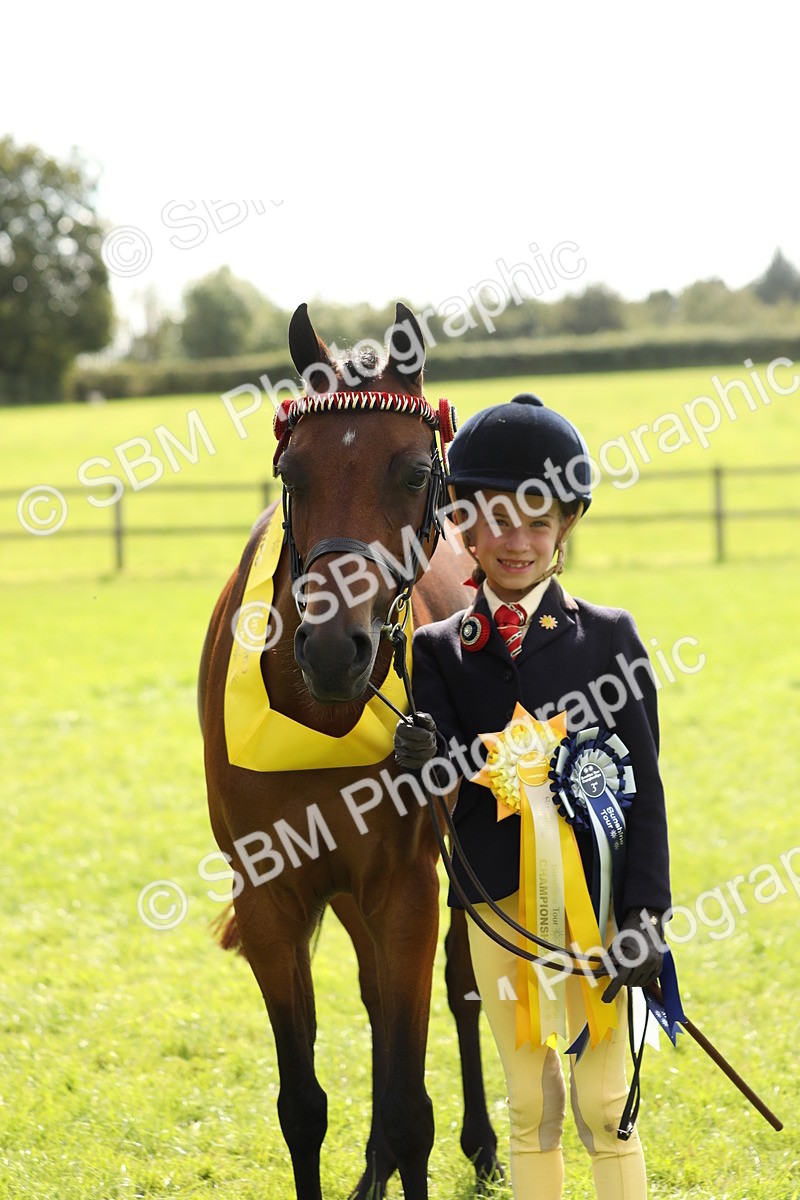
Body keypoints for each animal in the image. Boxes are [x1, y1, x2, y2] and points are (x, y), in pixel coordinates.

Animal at [198, 302, 500, 1200]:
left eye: (412, 473)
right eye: (292, 473)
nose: (336, 649)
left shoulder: (406, 890)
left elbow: (409, 1108)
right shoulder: (269, 899)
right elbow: (302, 1105)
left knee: (461, 992)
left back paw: (482, 1142)